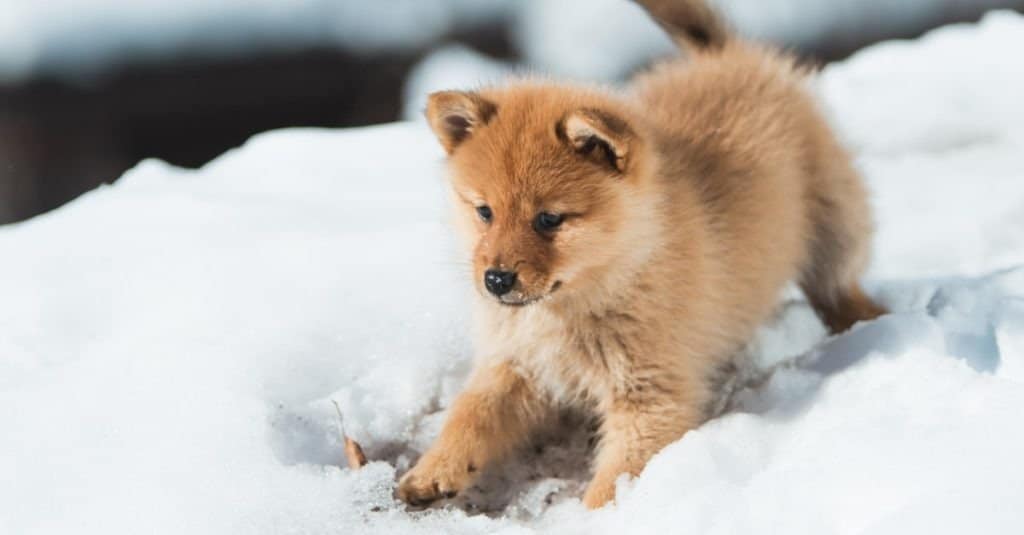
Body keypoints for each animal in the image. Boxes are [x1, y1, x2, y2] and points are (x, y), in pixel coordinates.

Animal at [395, 0, 884, 508]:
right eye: (484, 212)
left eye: (549, 219)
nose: (495, 279)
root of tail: (728, 57)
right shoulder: (514, 364)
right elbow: (471, 414)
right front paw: (434, 469)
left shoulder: (650, 393)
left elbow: (616, 476)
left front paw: (596, 515)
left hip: (835, 223)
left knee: (837, 284)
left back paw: (867, 321)